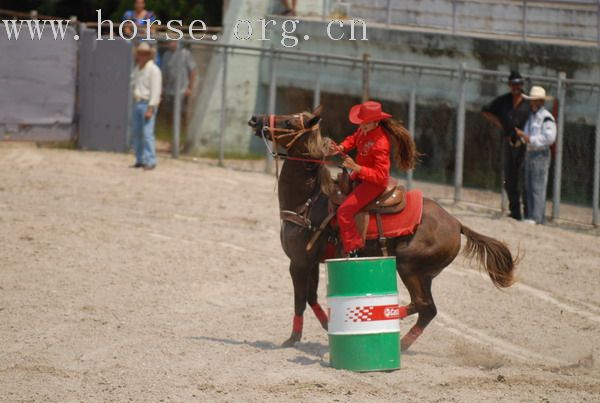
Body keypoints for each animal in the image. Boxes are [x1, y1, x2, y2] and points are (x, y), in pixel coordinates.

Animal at [246, 109, 516, 352]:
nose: (255, 119)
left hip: (408, 267)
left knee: (423, 305)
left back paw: (393, 327)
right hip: (426, 275)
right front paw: (326, 325)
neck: (309, 202)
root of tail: (457, 224)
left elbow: (300, 302)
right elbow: (311, 298)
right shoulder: (311, 262)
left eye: (290, 122)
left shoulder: (298, 262)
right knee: (427, 309)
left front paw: (291, 339)